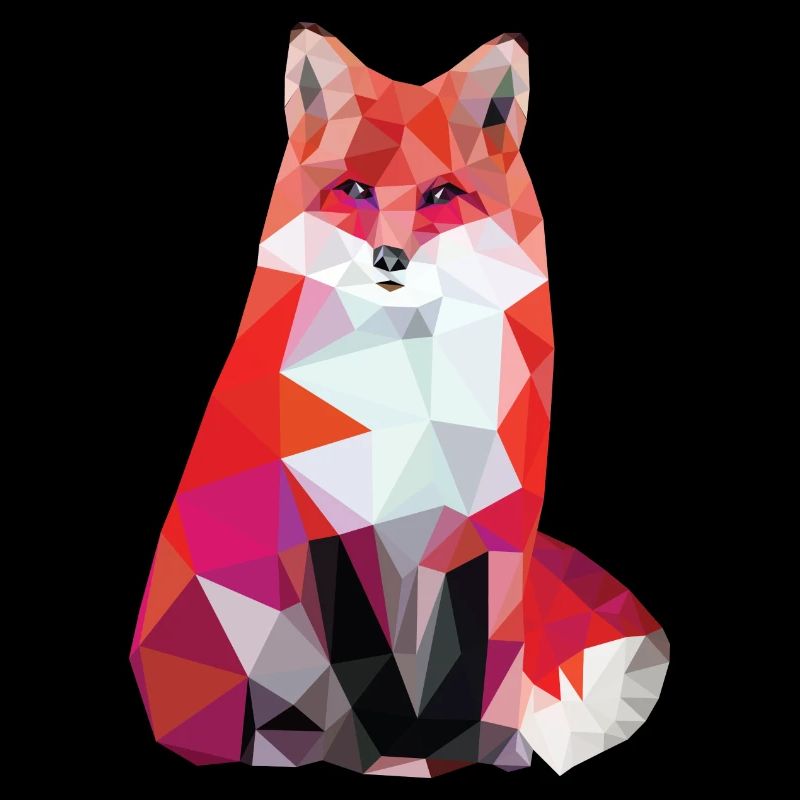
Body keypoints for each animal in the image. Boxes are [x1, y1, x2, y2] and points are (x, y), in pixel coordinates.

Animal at [130, 23, 669, 777]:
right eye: (356, 190)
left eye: (442, 195)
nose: (390, 260)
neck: (410, 410)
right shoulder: (330, 533)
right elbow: (358, 674)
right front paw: (365, 754)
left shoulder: (486, 534)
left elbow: (480, 668)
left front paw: (479, 752)